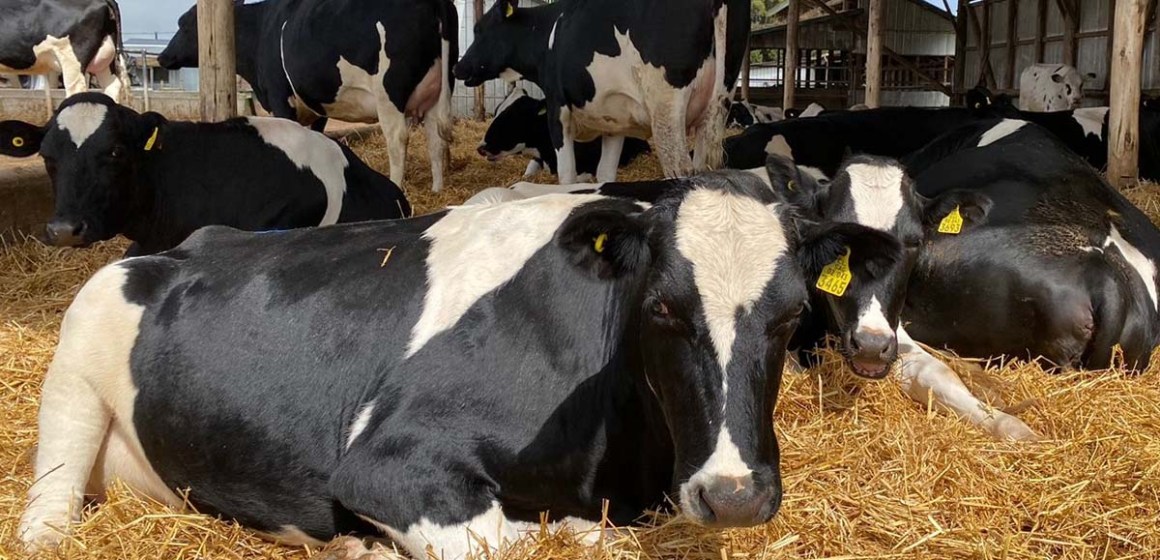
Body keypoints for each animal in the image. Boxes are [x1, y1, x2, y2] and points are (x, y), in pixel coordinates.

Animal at [18, 170, 902, 558]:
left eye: (788, 316)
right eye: (662, 308)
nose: (735, 496)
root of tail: (186, 246)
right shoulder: (383, 465)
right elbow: (516, 541)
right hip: (75, 362)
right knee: (44, 514)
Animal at [157, 0, 457, 191]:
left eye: (184, 25)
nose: (161, 57)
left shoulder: (279, 97)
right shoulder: (317, 106)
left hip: (388, 93)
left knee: (397, 139)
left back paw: (397, 185)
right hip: (439, 89)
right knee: (435, 137)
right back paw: (437, 189)